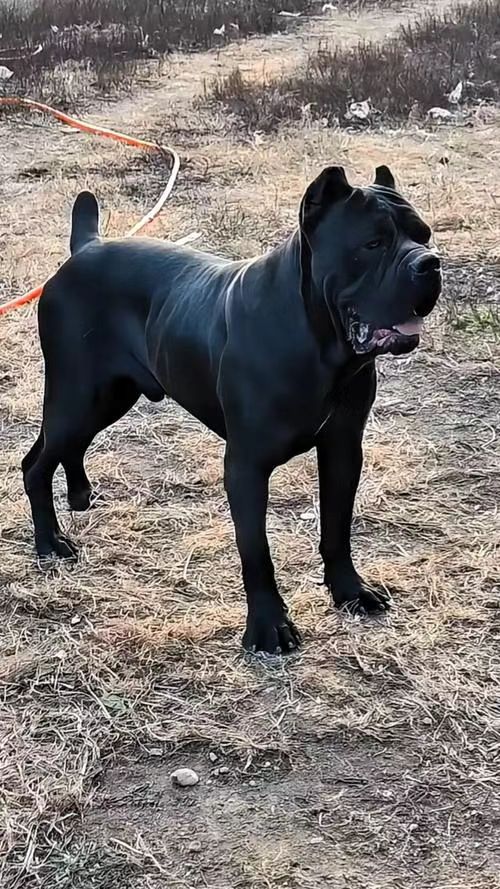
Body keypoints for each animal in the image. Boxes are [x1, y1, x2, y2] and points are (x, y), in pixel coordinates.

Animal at [22, 164, 441, 653]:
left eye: (424, 235)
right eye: (373, 244)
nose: (430, 262)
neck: (319, 343)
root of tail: (86, 246)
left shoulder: (342, 449)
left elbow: (337, 527)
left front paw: (350, 592)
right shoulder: (245, 466)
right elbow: (255, 551)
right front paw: (268, 627)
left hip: (107, 397)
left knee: (64, 448)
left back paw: (81, 495)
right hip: (77, 397)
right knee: (35, 463)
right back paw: (50, 542)